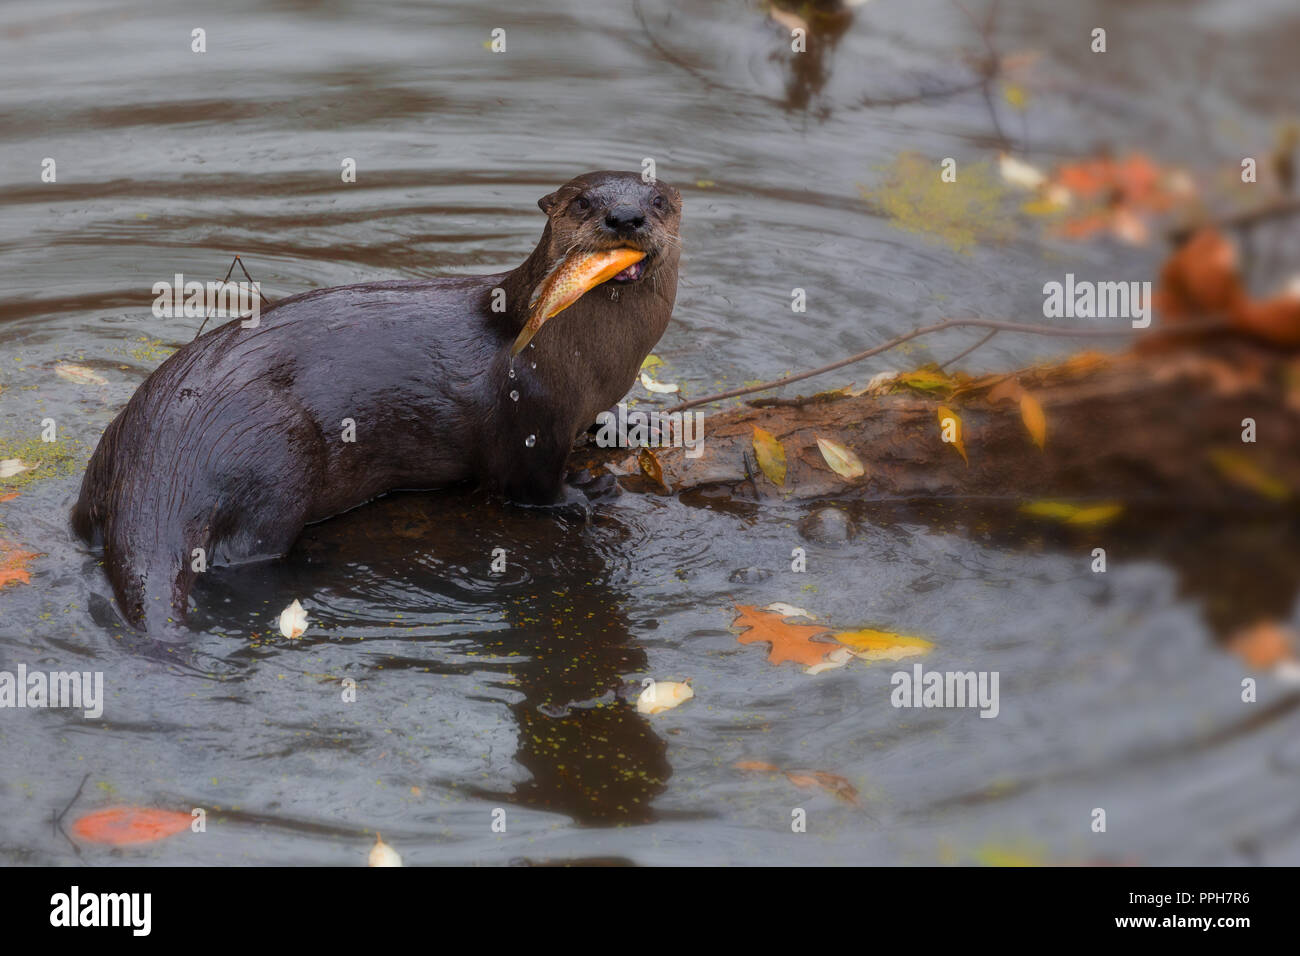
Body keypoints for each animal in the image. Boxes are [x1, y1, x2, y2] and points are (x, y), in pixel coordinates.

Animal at [72, 170, 682, 633]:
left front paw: (630, 425)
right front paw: (584, 493)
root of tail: (160, 463)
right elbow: (526, 485)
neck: (591, 361)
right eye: (583, 201)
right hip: (274, 451)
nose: (625, 217)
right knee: (247, 548)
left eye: (658, 201)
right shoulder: (530, 409)